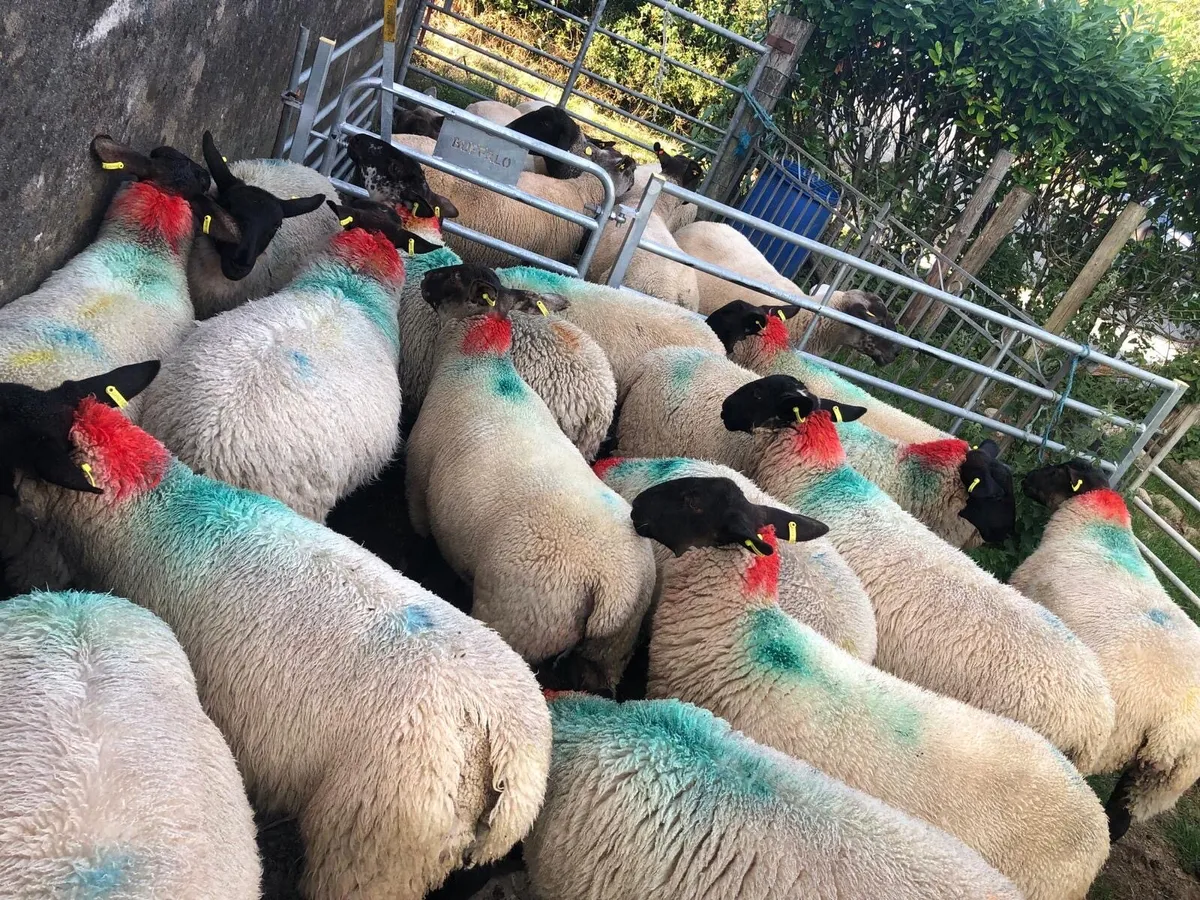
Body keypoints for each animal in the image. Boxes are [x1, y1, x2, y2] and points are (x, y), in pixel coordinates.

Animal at [406, 264, 656, 689]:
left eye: (455, 277)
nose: (424, 278)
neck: (478, 361)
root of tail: (613, 590)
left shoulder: (417, 484)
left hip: (524, 618)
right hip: (609, 653)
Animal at [1014, 459, 1200, 841]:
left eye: (1056, 471)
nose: (1024, 479)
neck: (1098, 523)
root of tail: (1174, 725)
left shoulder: (1025, 583)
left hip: (1104, 738)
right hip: (1155, 783)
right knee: (1120, 819)